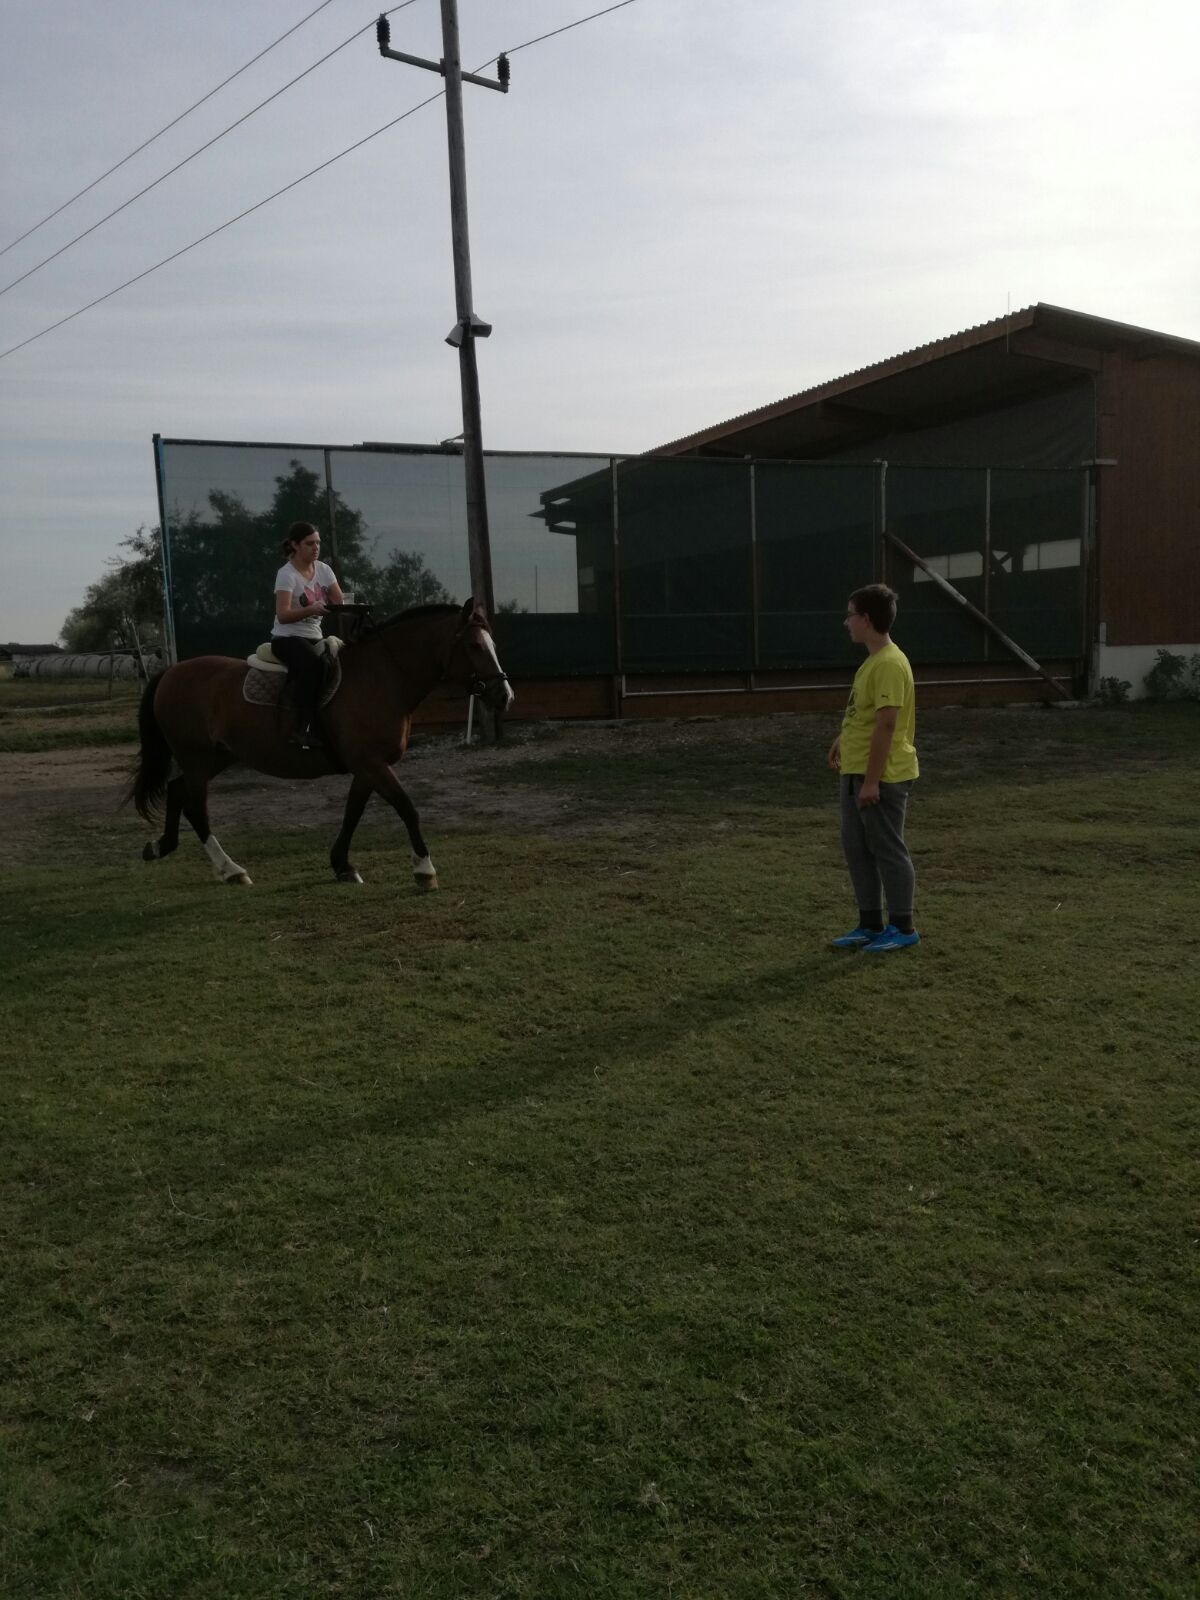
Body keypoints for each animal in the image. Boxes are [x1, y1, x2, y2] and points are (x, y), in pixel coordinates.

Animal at [125, 601, 512, 889]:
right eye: (475, 646)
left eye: (494, 644)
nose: (504, 695)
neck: (382, 677)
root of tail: (171, 672)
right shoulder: (371, 763)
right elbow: (407, 808)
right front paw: (424, 870)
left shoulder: (367, 766)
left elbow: (353, 812)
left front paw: (342, 865)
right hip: (197, 758)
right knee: (194, 806)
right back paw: (230, 869)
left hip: (216, 757)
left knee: (177, 791)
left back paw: (161, 846)